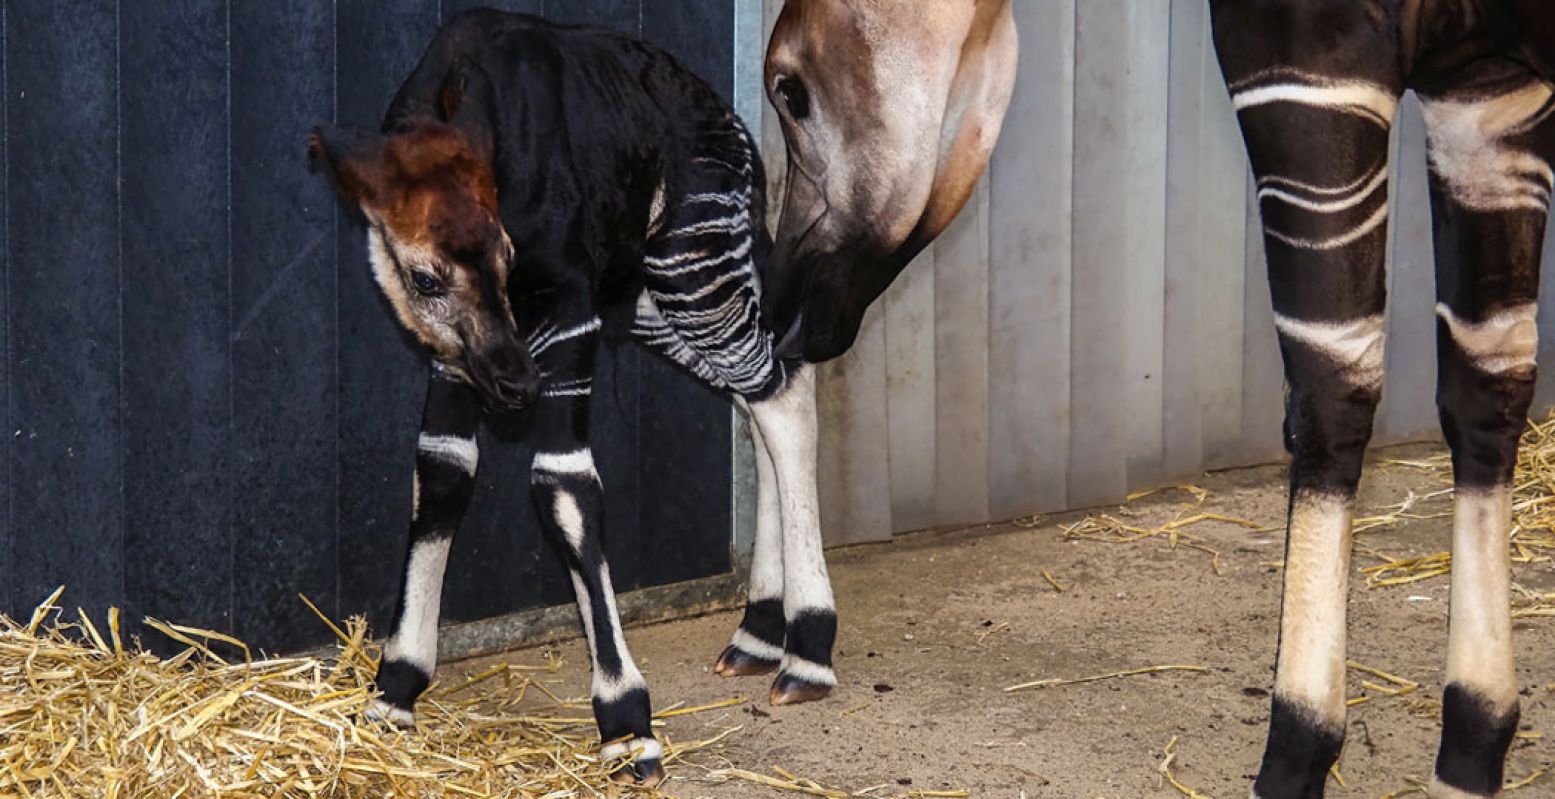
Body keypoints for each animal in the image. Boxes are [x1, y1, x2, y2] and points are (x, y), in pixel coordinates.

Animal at [309, 10, 833, 783]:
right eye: (425, 279)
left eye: (507, 257)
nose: (517, 384)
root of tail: (733, 118)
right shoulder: (452, 358)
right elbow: (441, 474)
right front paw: (393, 690)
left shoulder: (568, 313)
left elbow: (565, 488)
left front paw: (627, 725)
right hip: (650, 302)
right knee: (754, 398)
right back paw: (759, 631)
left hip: (689, 262)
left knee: (783, 389)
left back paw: (809, 651)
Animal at [1212, 3, 1555, 792]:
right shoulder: (1490, 76)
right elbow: (1484, 379)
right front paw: (1473, 743)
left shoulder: (1303, 51)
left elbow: (1327, 387)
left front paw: (1296, 750)